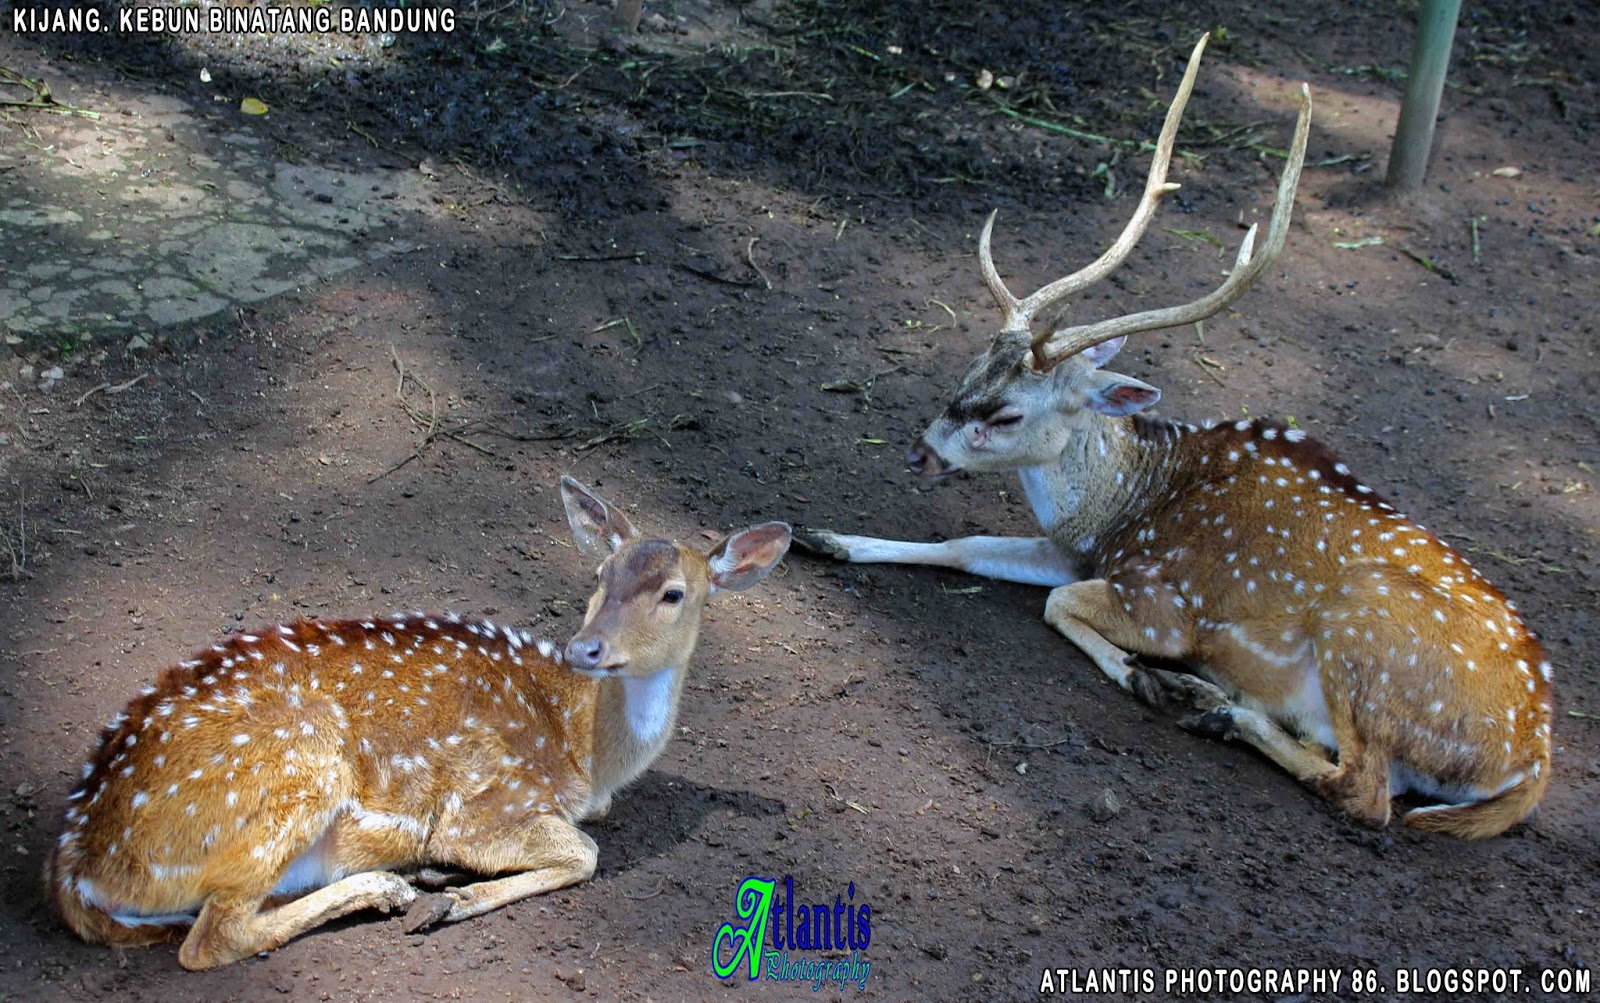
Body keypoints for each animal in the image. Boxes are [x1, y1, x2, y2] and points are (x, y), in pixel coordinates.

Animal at [48, 476, 792, 969]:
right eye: (601, 573)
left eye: (674, 593)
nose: (587, 648)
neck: (587, 753)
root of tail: (78, 866)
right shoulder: (484, 803)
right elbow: (584, 852)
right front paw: (448, 894)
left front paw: (446, 886)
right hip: (300, 762)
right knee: (211, 938)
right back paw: (391, 887)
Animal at [797, 35, 1552, 839]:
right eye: (968, 365)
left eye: (1005, 415)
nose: (920, 451)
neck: (1124, 508)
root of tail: (1529, 763)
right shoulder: (1079, 551)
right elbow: (964, 546)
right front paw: (823, 537)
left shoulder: (1163, 596)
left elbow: (1059, 606)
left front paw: (1145, 676)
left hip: (1367, 634)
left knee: (1366, 793)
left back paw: (1214, 706)